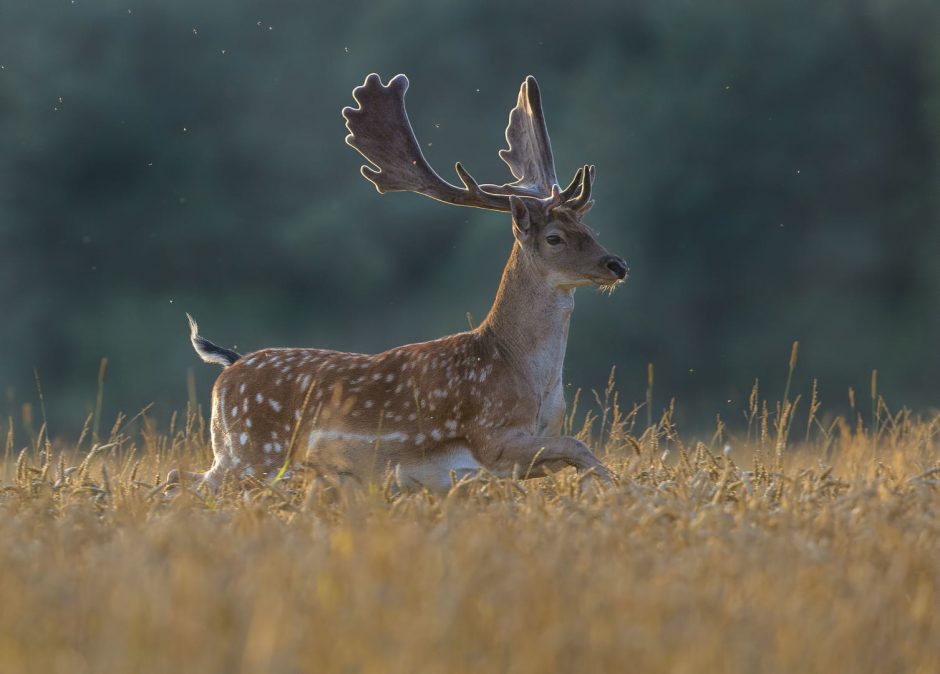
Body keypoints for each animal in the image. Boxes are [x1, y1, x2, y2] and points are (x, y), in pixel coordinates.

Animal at [179, 73, 628, 490]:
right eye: (554, 237)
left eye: (588, 227)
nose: (617, 264)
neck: (525, 376)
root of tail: (229, 369)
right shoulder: (491, 437)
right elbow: (580, 446)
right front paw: (620, 492)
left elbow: (578, 452)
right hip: (252, 454)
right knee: (180, 479)